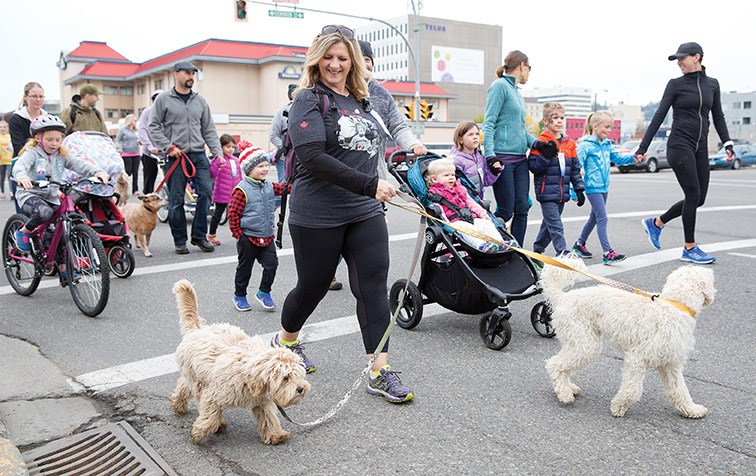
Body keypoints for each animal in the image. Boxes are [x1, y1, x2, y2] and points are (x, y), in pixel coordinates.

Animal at [171, 280, 310, 444]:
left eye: (298, 375)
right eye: (285, 377)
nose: (301, 389)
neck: (248, 378)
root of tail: (197, 329)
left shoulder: (262, 402)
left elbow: (268, 417)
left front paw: (275, 434)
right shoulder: (212, 395)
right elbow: (210, 416)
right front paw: (199, 432)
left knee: (183, 384)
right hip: (197, 380)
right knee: (188, 388)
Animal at [544, 258, 716, 418]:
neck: (675, 305)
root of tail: (563, 297)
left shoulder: (671, 363)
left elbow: (680, 390)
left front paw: (691, 410)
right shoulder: (637, 358)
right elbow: (633, 389)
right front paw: (618, 406)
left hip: (576, 341)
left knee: (562, 364)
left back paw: (569, 387)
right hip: (585, 344)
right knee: (554, 364)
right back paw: (564, 393)